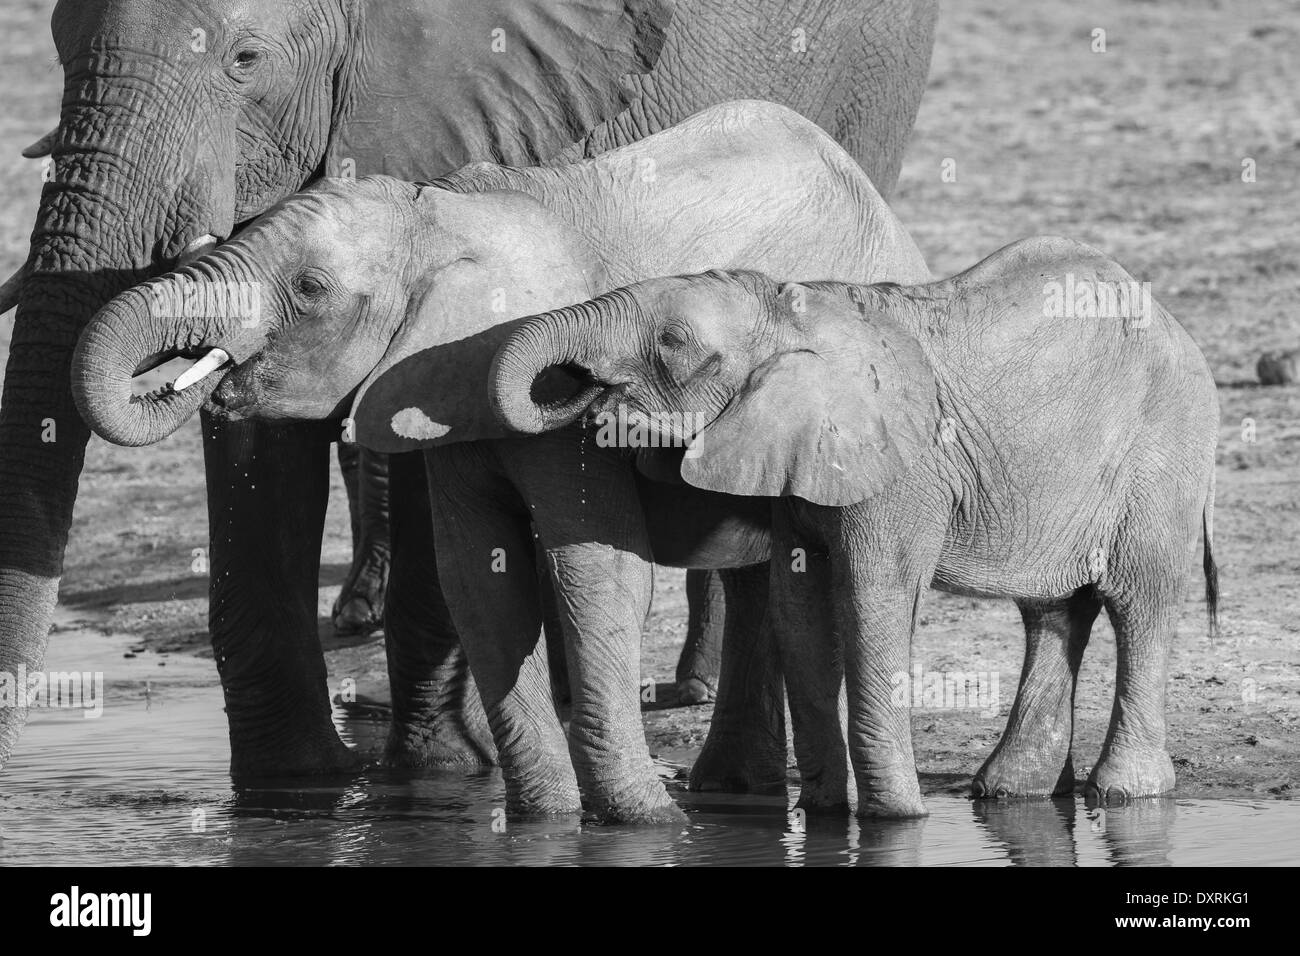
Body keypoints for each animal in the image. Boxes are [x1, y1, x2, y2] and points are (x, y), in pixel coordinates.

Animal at [0, 0, 935, 780]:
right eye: (56, 40)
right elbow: (269, 463)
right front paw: (297, 790)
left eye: (245, 59)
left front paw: (436, 776)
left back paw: (690, 704)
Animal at [491, 238, 1222, 816]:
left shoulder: (900, 469)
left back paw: (1125, 793)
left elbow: (872, 601)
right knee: (1052, 612)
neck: (796, 306)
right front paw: (823, 814)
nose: (585, 389)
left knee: (1138, 602)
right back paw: (1010, 792)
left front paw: (897, 820)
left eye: (673, 345)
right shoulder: (799, 461)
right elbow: (800, 606)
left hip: (1164, 453)